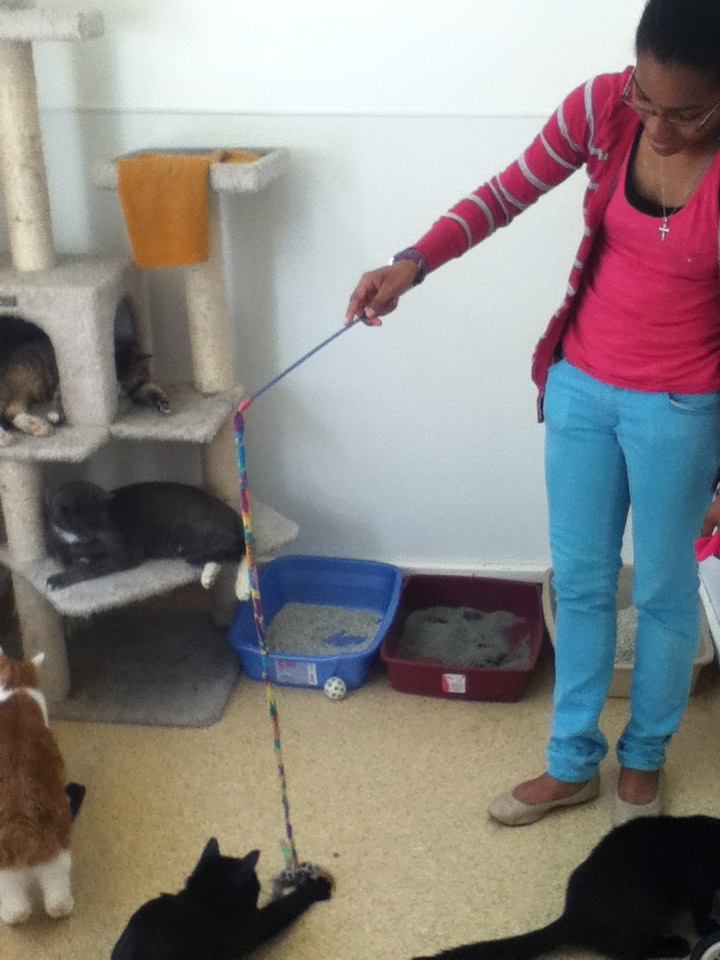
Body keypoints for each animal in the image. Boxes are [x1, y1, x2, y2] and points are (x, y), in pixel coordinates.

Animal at [0, 298, 170, 445]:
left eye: (121, 382)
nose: (116, 391)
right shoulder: (60, 386)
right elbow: (60, 400)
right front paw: (56, 415)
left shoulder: (138, 386)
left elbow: (149, 389)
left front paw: (163, 403)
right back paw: (7, 436)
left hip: (24, 393)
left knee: (10, 412)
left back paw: (35, 426)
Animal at [45, 479, 249, 600]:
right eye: (83, 523)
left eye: (101, 518)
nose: (98, 533)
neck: (74, 541)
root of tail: (232, 514)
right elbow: (72, 562)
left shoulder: (121, 555)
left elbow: (87, 568)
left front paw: (56, 579)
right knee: (224, 555)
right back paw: (208, 577)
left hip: (195, 535)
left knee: (239, 552)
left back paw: (242, 589)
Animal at [110, 839, 332, 960]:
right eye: (256, 885)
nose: (260, 887)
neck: (197, 901)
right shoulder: (252, 927)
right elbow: (284, 907)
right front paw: (317, 887)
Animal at [413, 815, 720, 960]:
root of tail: (573, 916)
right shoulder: (699, 883)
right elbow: (701, 912)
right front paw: (710, 927)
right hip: (644, 912)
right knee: (632, 949)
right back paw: (675, 944)